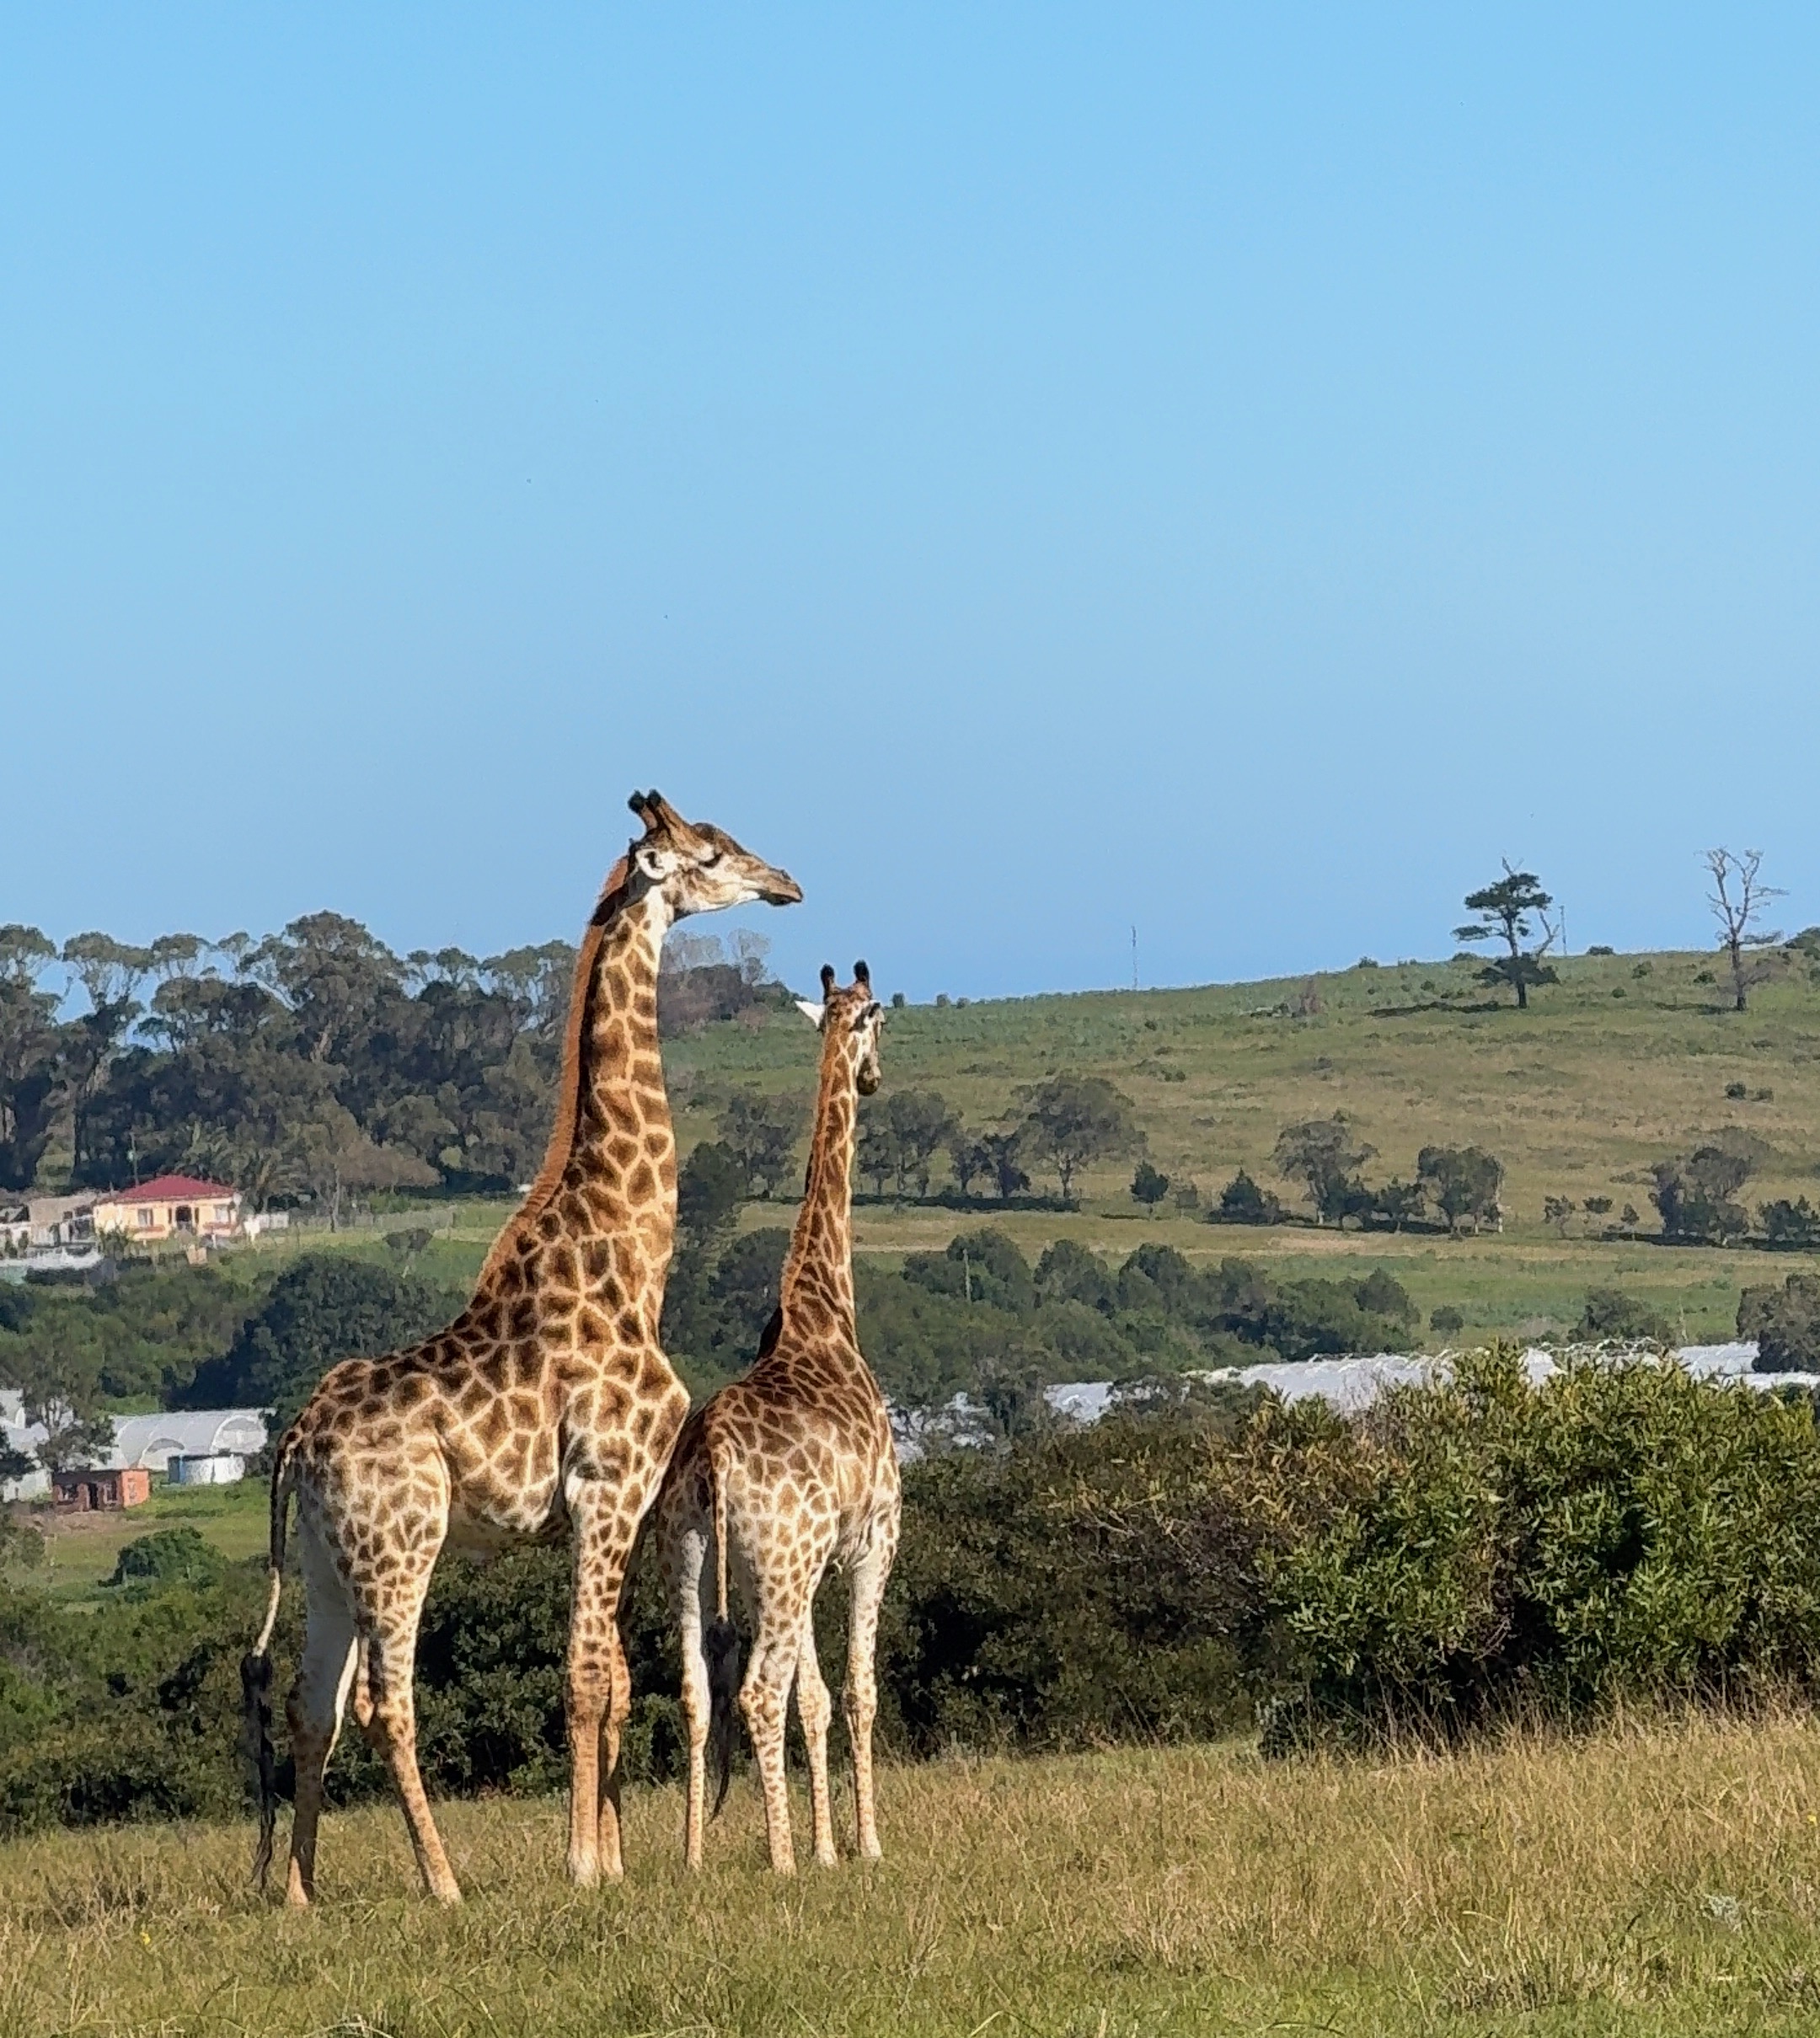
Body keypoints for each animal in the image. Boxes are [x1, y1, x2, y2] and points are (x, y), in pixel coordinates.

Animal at [239, 792, 800, 1906]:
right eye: (713, 853)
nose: (787, 884)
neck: (632, 1255)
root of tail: (297, 1443)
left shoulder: (618, 1508)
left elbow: (616, 1678)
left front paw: (615, 1859)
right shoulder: (607, 1488)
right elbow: (584, 1675)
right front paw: (584, 1865)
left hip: (324, 1563)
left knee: (310, 1705)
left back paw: (301, 1892)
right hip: (401, 1545)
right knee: (383, 1703)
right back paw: (443, 1883)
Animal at [654, 961, 902, 1874]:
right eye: (877, 1023)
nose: (873, 1077)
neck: (825, 1311)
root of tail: (717, 1461)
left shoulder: (801, 1569)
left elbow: (815, 1698)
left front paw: (829, 1843)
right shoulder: (873, 1542)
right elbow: (856, 1692)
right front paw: (861, 1844)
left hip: (693, 1557)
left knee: (696, 1693)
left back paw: (694, 1853)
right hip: (782, 1563)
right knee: (758, 1693)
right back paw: (783, 1858)